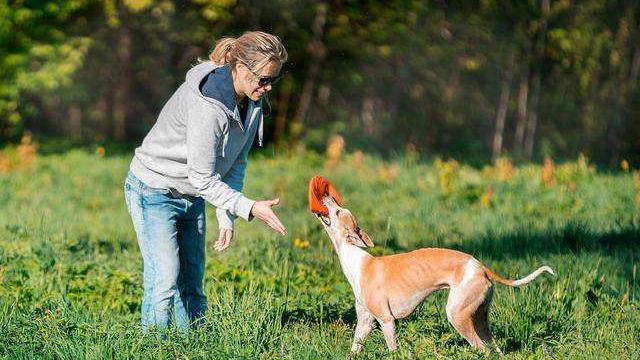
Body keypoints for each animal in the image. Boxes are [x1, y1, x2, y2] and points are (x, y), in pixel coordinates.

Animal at [310, 176, 556, 352]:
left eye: (338, 211)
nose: (326, 195)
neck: (357, 260)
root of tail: (480, 267)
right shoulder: (364, 322)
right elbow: (354, 349)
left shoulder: (387, 321)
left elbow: (393, 350)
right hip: (480, 319)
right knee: (494, 348)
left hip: (458, 315)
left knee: (482, 350)